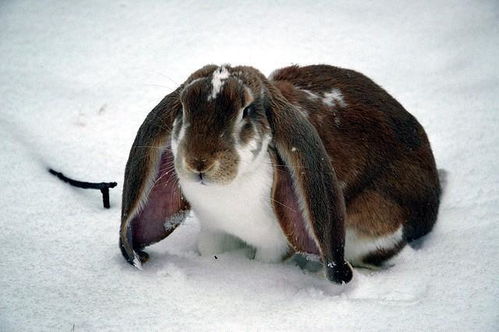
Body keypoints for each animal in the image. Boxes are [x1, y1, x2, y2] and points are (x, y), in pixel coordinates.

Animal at [121, 65, 442, 286]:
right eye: (184, 109)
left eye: (246, 111)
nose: (199, 163)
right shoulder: (214, 231)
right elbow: (210, 249)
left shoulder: (274, 244)